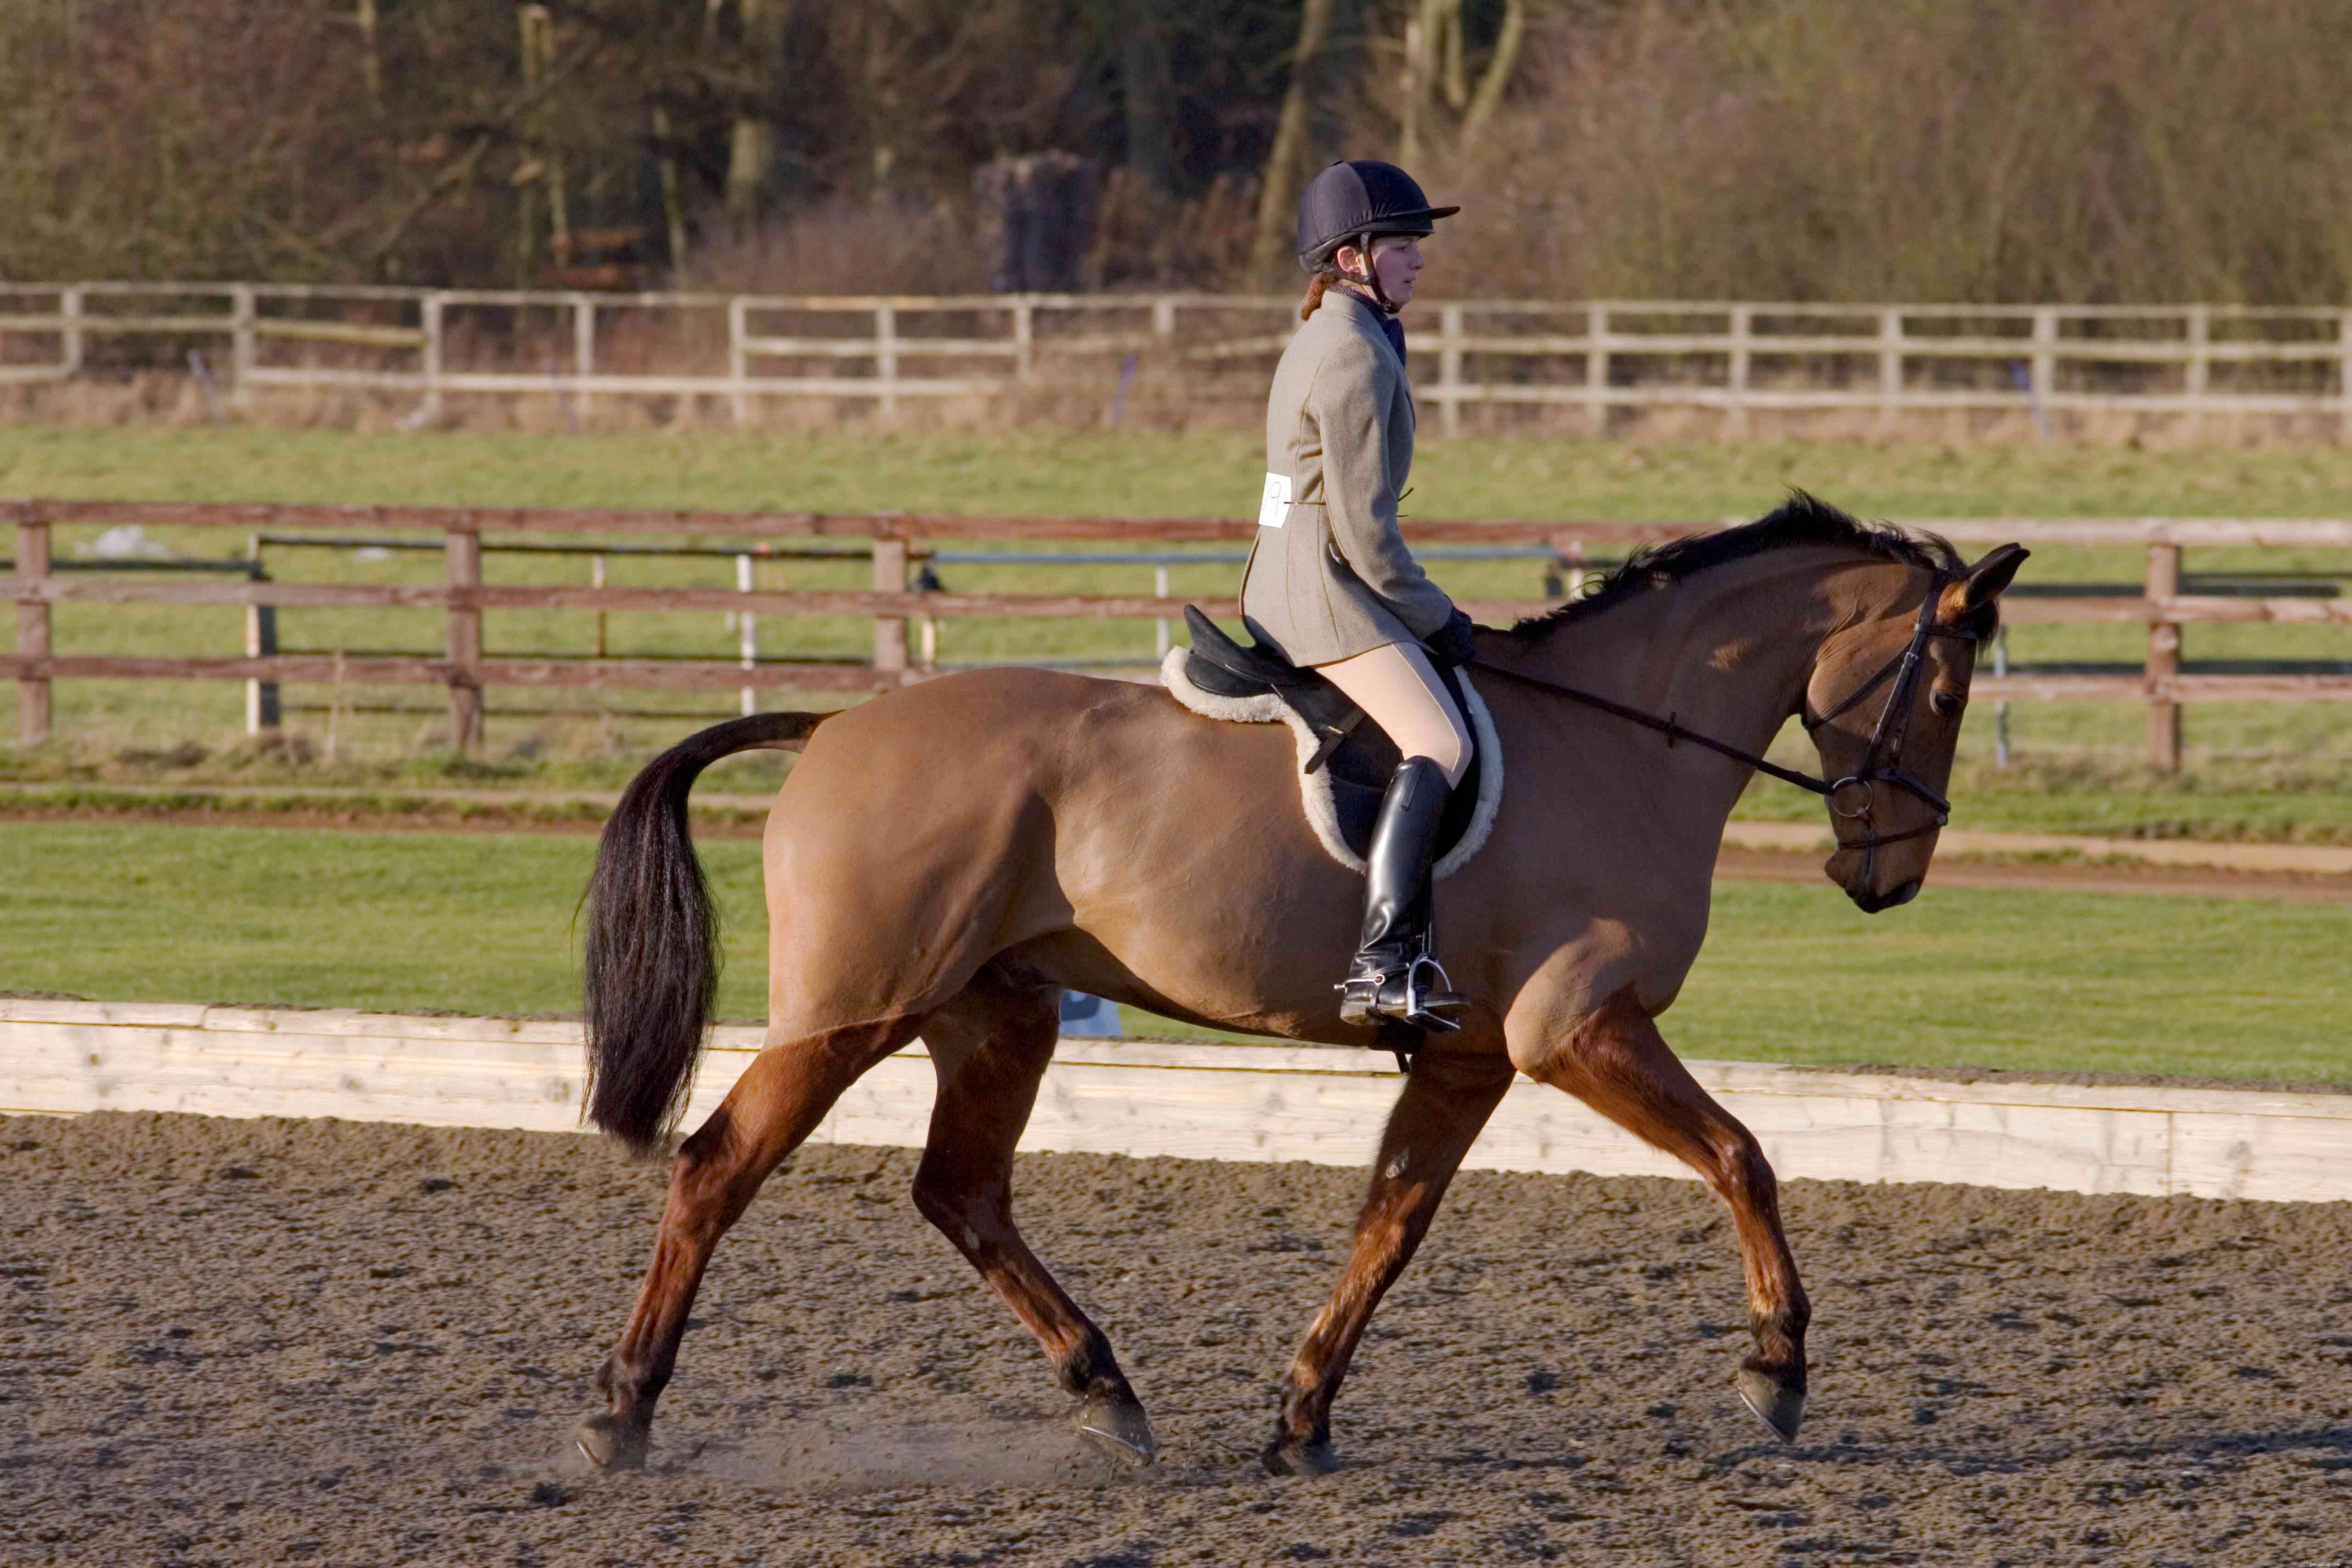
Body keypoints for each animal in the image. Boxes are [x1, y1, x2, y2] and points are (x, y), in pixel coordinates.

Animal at [571, 495, 2026, 1476]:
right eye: (1948, 693)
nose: (1887, 875)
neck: (1631, 740)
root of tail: (834, 726)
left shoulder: (1470, 1055)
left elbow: (1391, 1223)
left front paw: (1302, 1416)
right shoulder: (1574, 1028)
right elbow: (1743, 1157)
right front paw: (1776, 1367)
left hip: (1001, 1012)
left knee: (962, 1192)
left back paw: (1106, 1392)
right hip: (855, 1011)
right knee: (717, 1167)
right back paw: (622, 1411)